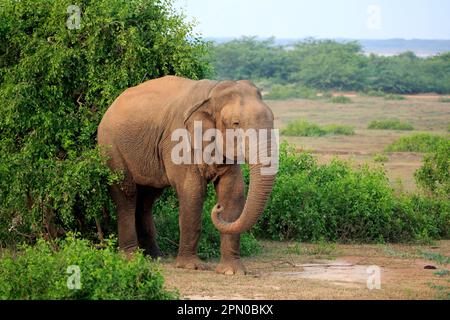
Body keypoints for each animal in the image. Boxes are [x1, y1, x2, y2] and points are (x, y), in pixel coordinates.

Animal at [96, 75, 276, 276]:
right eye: (236, 124)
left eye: (272, 120)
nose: (217, 207)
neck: (212, 92)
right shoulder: (179, 139)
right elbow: (192, 191)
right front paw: (192, 266)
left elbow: (233, 192)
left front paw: (232, 271)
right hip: (110, 147)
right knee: (127, 195)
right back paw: (131, 258)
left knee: (147, 199)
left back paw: (154, 257)